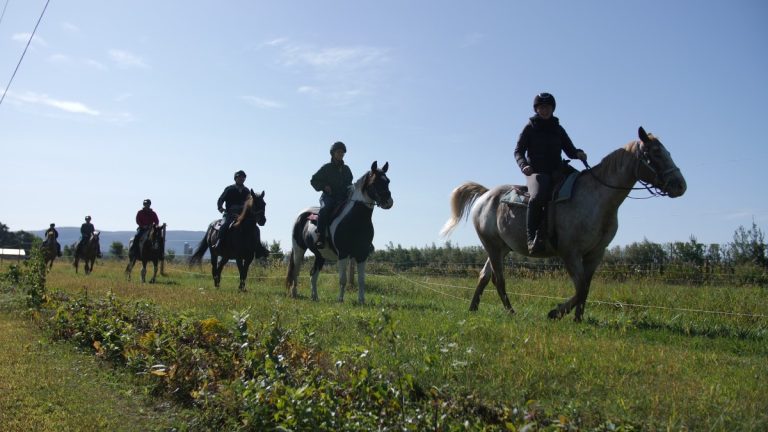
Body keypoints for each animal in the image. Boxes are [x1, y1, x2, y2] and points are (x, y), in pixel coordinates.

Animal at [288, 161, 396, 304]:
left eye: (387, 181)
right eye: (374, 182)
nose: (388, 202)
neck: (355, 220)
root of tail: (302, 214)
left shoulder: (362, 254)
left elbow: (361, 280)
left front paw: (361, 300)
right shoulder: (343, 254)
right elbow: (343, 279)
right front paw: (340, 300)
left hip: (320, 255)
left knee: (313, 274)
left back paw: (315, 297)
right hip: (299, 249)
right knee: (296, 271)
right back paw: (294, 293)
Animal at [440, 127, 688, 320]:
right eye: (655, 152)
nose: (680, 185)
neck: (596, 198)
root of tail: (485, 194)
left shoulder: (596, 253)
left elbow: (585, 287)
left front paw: (578, 318)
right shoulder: (570, 252)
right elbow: (580, 287)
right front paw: (556, 312)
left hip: (502, 248)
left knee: (484, 275)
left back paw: (473, 308)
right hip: (492, 245)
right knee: (498, 279)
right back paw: (511, 312)